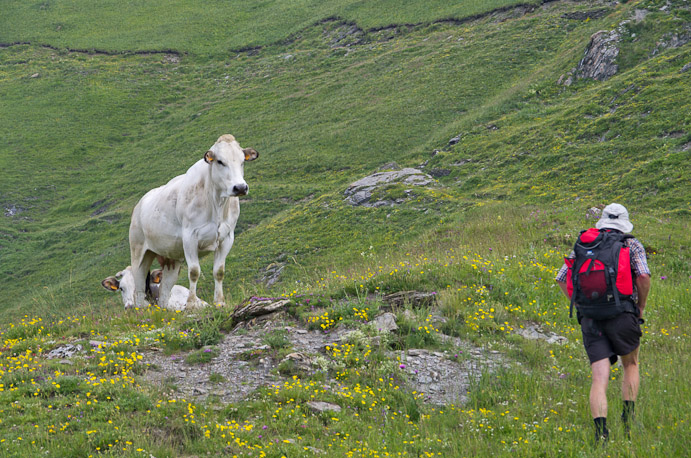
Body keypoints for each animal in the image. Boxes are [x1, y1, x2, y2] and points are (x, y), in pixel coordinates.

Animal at [126, 134, 256, 310]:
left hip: (171, 257)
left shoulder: (227, 237)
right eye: (220, 161)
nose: (240, 187)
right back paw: (142, 311)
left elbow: (219, 271)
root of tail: (139, 204)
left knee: (165, 290)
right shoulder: (190, 237)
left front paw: (219, 302)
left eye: (242, 161)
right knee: (139, 287)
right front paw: (192, 304)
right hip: (139, 251)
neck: (217, 205)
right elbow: (194, 271)